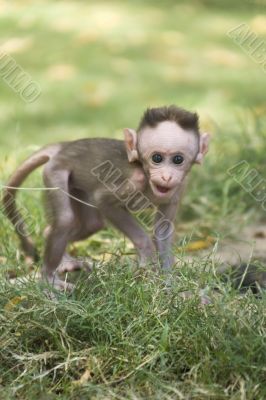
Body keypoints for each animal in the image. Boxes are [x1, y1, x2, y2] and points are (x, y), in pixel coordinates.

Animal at [2, 104, 210, 290]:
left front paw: (169, 280)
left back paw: (59, 253)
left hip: (76, 187)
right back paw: (48, 279)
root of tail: (65, 146)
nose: (167, 177)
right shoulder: (134, 180)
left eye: (178, 159)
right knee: (66, 219)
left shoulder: (179, 188)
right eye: (157, 158)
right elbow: (104, 201)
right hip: (55, 171)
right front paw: (146, 253)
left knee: (91, 224)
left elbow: (163, 229)